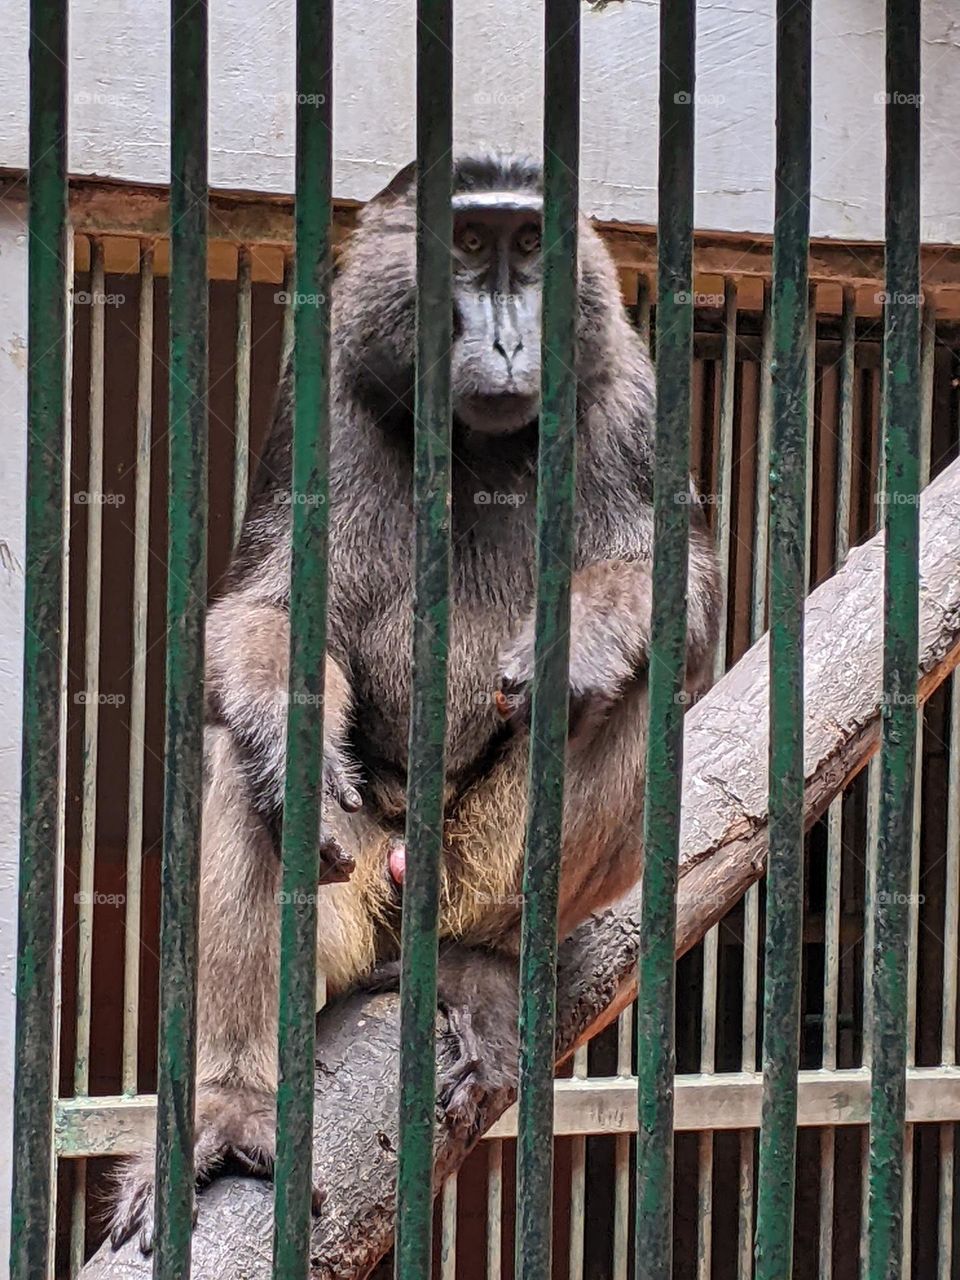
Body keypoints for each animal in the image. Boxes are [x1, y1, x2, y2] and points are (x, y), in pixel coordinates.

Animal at [109, 154, 721, 1250]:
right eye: (468, 244)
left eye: (529, 245)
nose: (512, 339)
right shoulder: (322, 399)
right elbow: (266, 610)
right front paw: (288, 738)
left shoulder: (632, 399)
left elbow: (678, 594)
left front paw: (579, 640)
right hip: (362, 874)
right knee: (243, 766)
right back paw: (231, 1107)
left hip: (466, 861)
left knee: (625, 698)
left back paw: (481, 956)